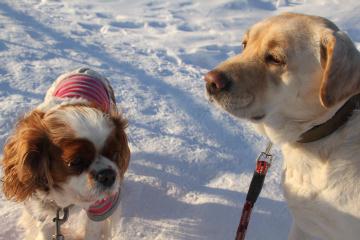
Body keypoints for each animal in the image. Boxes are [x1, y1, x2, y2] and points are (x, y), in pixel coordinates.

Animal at [1, 67, 131, 240]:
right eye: (75, 162)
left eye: (115, 154)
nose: (108, 175)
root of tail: (86, 69)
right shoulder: (38, 206)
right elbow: (43, 229)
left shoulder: (102, 204)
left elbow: (92, 229)